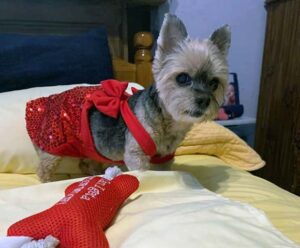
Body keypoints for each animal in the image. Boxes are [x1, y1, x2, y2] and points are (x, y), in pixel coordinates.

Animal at [27, 14, 230, 182]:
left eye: (214, 83)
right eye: (182, 78)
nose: (204, 100)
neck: (168, 122)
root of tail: (48, 100)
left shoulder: (164, 158)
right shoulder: (135, 155)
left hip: (89, 144)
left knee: (86, 162)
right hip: (54, 143)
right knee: (44, 167)